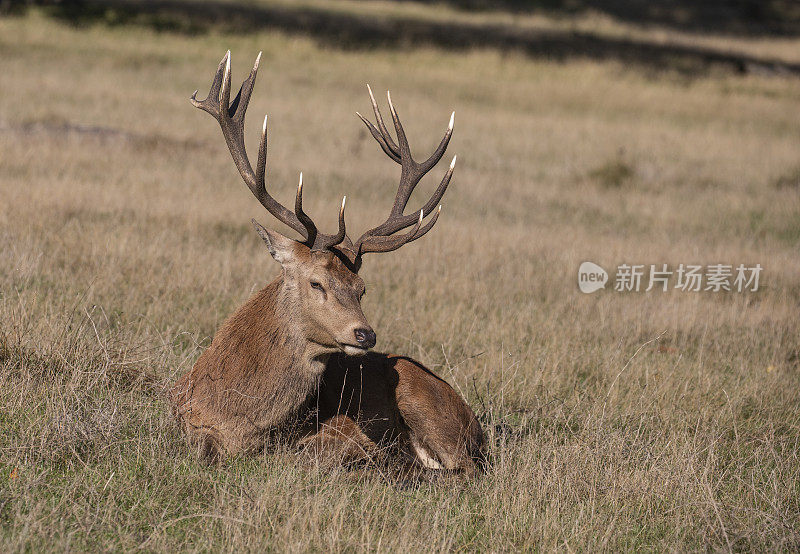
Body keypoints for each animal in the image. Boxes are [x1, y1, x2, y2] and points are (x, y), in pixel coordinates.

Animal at [170, 51, 488, 474]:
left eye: (362, 289)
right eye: (316, 282)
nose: (365, 335)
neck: (234, 418)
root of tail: (477, 427)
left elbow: (313, 454)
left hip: (421, 397)